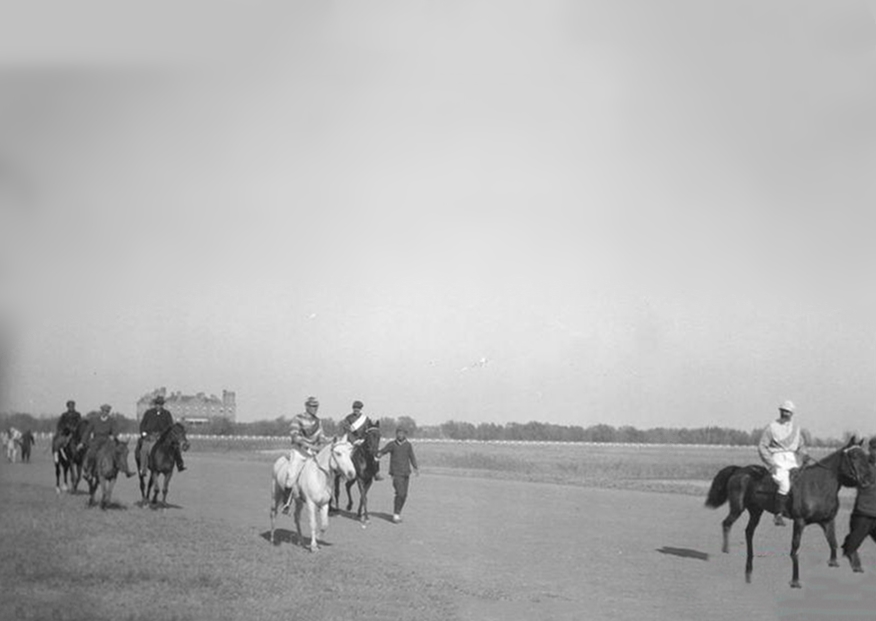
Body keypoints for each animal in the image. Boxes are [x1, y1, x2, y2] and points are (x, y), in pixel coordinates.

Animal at [708, 436, 872, 588]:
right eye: (854, 456)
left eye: (865, 456)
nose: (867, 481)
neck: (818, 485)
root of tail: (740, 470)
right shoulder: (799, 521)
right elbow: (795, 549)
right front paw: (795, 580)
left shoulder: (827, 521)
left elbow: (833, 543)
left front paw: (834, 563)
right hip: (738, 508)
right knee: (726, 523)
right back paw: (726, 550)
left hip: (756, 511)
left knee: (748, 532)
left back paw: (749, 566)